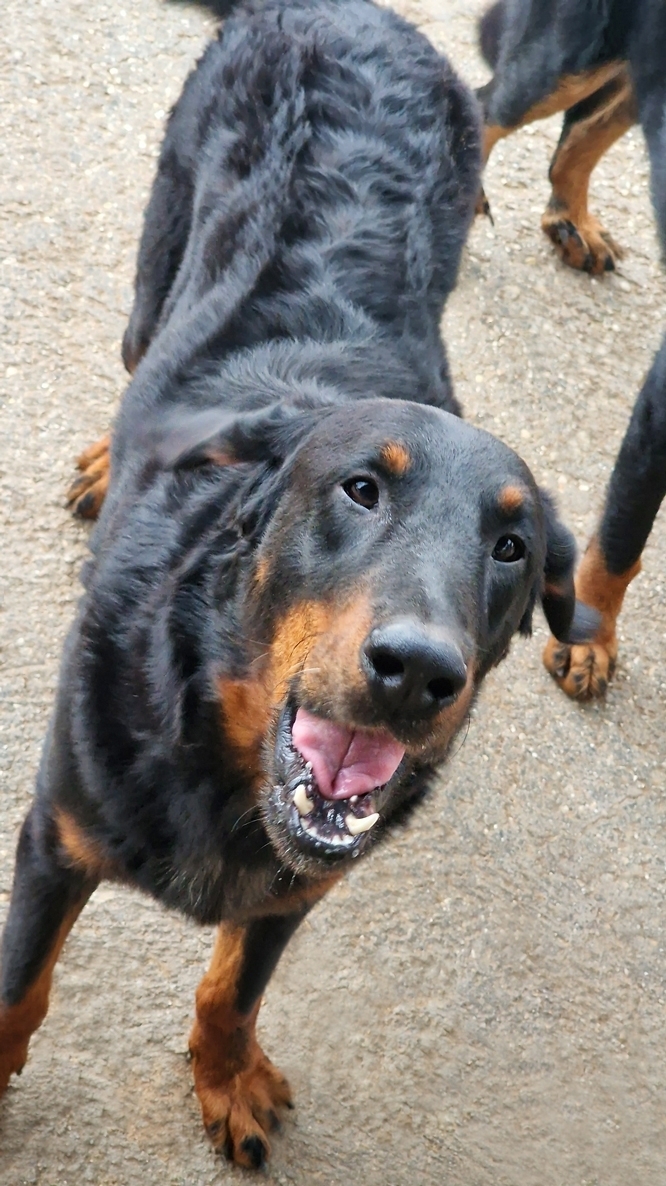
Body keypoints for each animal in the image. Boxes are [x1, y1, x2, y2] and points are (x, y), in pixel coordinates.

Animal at [0, 0, 590, 1167]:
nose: (418, 673)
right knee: (135, 353)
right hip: (158, 257)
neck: (211, 741)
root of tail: (354, 12)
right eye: (359, 487)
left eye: (514, 547)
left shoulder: (304, 876)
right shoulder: (54, 828)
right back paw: (102, 460)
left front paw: (225, 1076)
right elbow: (18, 994)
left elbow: (237, 986)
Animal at [474, 0, 663, 697]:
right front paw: (589, 641)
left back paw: (572, 222)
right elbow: (622, 537)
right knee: (488, 106)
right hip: (569, 57)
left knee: (577, 139)